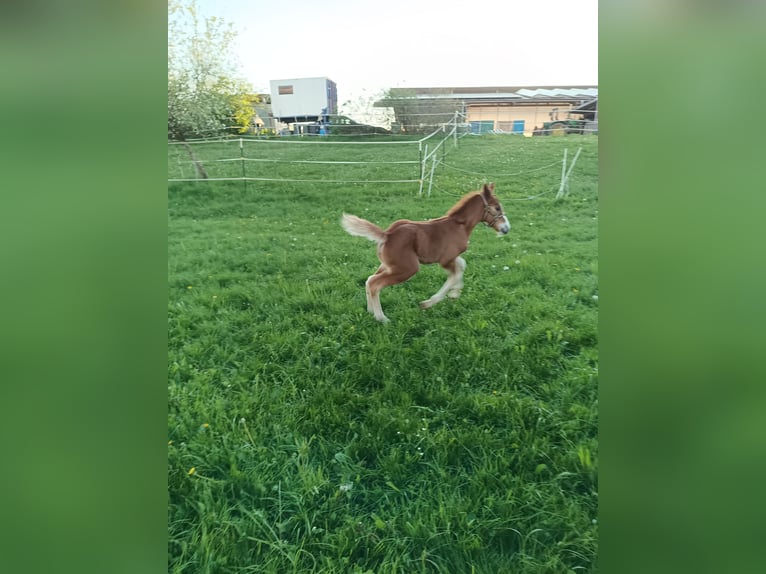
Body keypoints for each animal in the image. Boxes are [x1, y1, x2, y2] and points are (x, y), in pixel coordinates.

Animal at [340, 182, 510, 322]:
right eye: (497, 208)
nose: (506, 228)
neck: (460, 225)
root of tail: (387, 235)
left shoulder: (452, 258)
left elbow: (461, 266)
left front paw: (454, 293)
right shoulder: (446, 259)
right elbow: (455, 274)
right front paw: (429, 302)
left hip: (388, 265)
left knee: (369, 280)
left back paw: (370, 311)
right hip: (407, 268)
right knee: (375, 284)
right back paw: (382, 318)